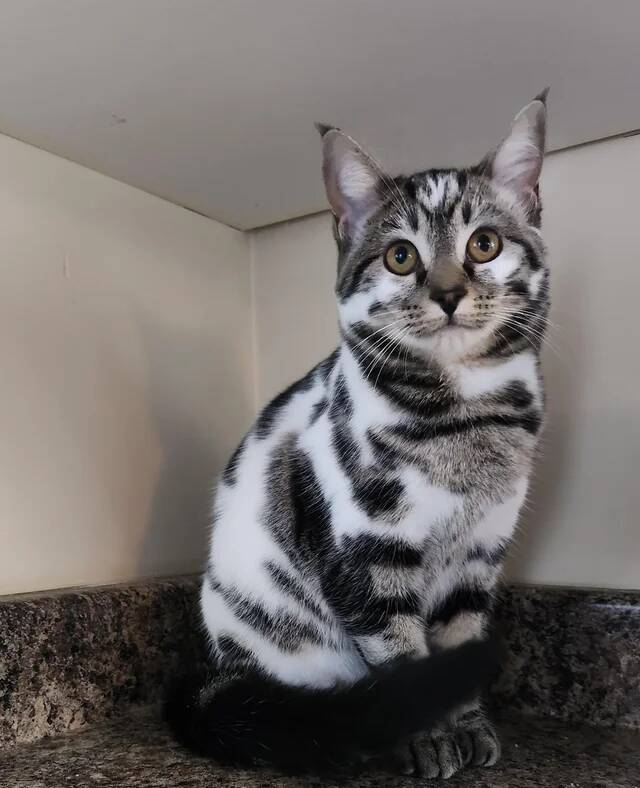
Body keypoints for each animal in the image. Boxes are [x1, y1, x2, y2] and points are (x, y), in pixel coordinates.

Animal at [166, 91, 549, 779]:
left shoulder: (478, 558)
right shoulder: (365, 553)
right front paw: (424, 737)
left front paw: (469, 727)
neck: (463, 419)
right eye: (400, 256)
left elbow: (458, 642)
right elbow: (401, 654)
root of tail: (219, 670)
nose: (448, 293)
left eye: (484, 244)